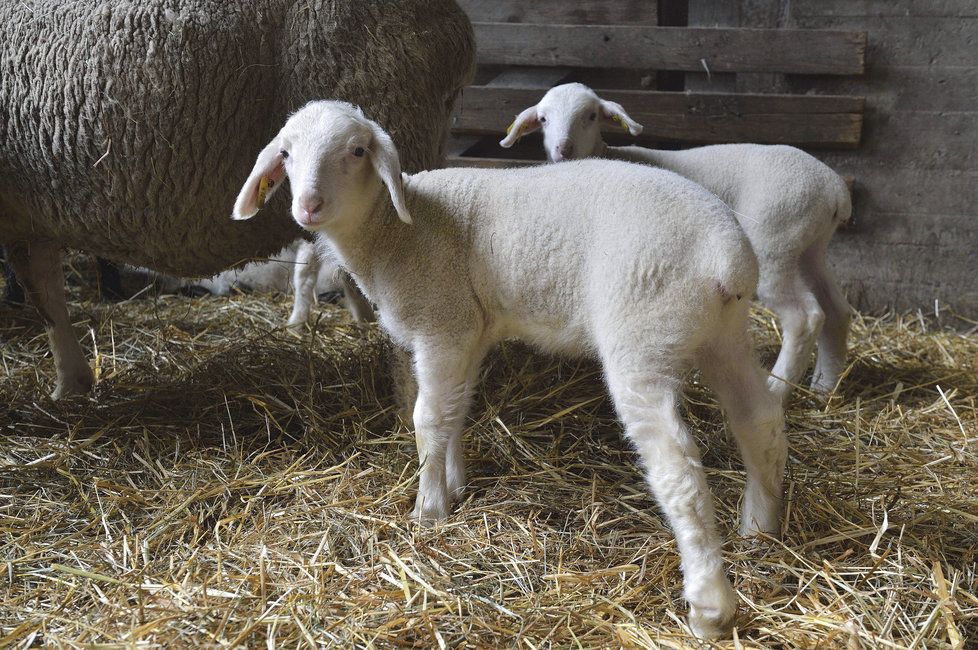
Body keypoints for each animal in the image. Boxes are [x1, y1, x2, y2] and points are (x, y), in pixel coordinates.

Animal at [229, 101, 784, 636]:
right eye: (286, 154)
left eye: (358, 150)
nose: (308, 206)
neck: (397, 232)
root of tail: (725, 253)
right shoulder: (467, 331)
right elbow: (453, 412)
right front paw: (453, 485)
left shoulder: (442, 324)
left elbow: (426, 418)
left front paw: (427, 510)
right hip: (723, 334)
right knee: (758, 420)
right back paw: (760, 527)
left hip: (643, 334)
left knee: (680, 468)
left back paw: (710, 607)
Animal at [500, 83, 852, 402]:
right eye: (543, 119)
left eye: (590, 116)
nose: (563, 149)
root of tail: (834, 188)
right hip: (809, 246)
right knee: (837, 309)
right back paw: (824, 388)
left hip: (775, 240)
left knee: (804, 317)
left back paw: (779, 389)